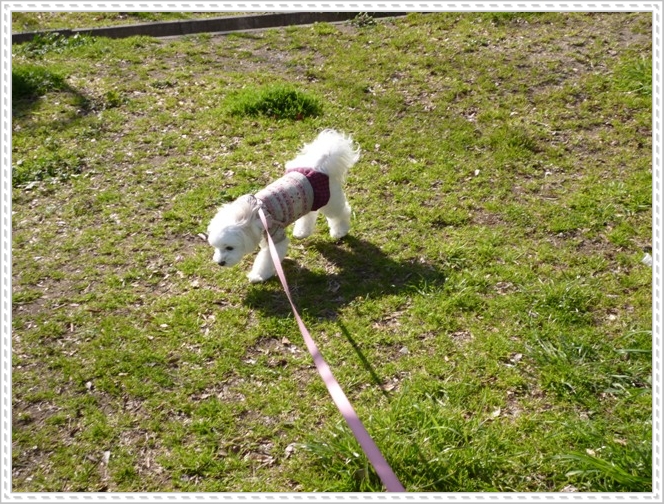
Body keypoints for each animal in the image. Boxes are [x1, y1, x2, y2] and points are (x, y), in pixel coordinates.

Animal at [206, 129, 360, 282]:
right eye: (216, 247)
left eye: (229, 248)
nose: (220, 263)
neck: (254, 214)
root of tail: (319, 165)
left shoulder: (275, 236)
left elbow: (267, 260)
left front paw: (258, 275)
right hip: (308, 201)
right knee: (310, 214)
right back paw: (302, 232)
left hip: (330, 203)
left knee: (342, 213)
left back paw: (340, 231)